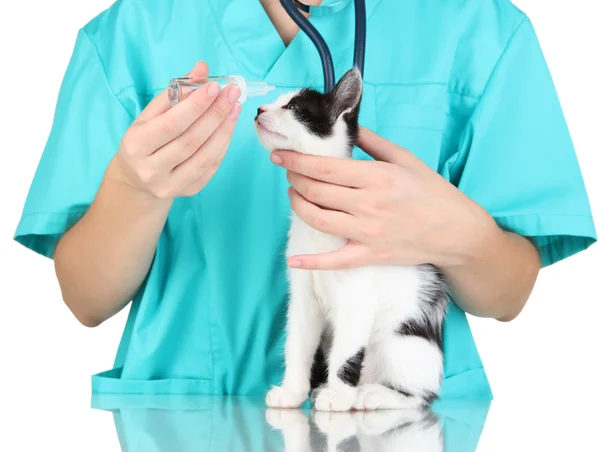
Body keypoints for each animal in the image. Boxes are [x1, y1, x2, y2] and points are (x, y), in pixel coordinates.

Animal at [255, 69, 448, 412]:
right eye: (276, 101)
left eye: (293, 107)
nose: (259, 109)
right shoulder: (303, 296)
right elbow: (298, 343)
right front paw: (292, 392)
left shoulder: (357, 300)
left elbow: (346, 351)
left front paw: (340, 396)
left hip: (401, 342)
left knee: (420, 396)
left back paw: (371, 394)